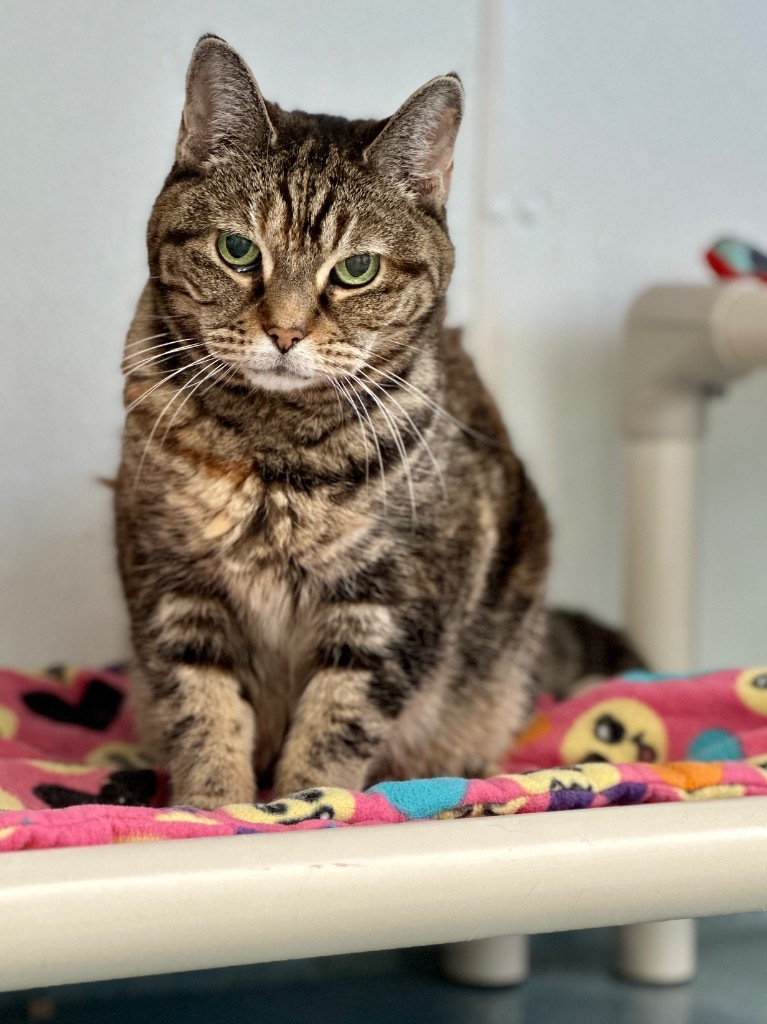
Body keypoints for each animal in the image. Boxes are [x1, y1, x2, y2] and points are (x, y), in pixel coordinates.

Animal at [116, 37, 561, 806]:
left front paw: (309, 806)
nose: (285, 333)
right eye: (238, 251)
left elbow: (335, 726)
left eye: (356, 270)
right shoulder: (174, 585)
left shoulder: (390, 606)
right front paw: (211, 810)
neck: (272, 447)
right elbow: (200, 713)